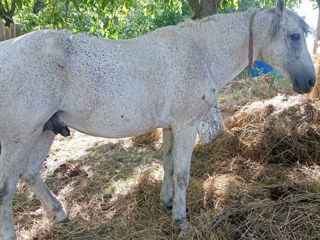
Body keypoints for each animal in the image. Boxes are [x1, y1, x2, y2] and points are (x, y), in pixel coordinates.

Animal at [0, 0, 316, 238]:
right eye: (295, 36)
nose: (310, 81)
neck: (201, 52)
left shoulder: (170, 126)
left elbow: (168, 163)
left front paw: (167, 202)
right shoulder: (187, 125)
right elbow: (182, 173)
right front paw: (180, 220)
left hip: (44, 130)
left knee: (30, 173)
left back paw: (59, 214)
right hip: (21, 135)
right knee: (7, 188)